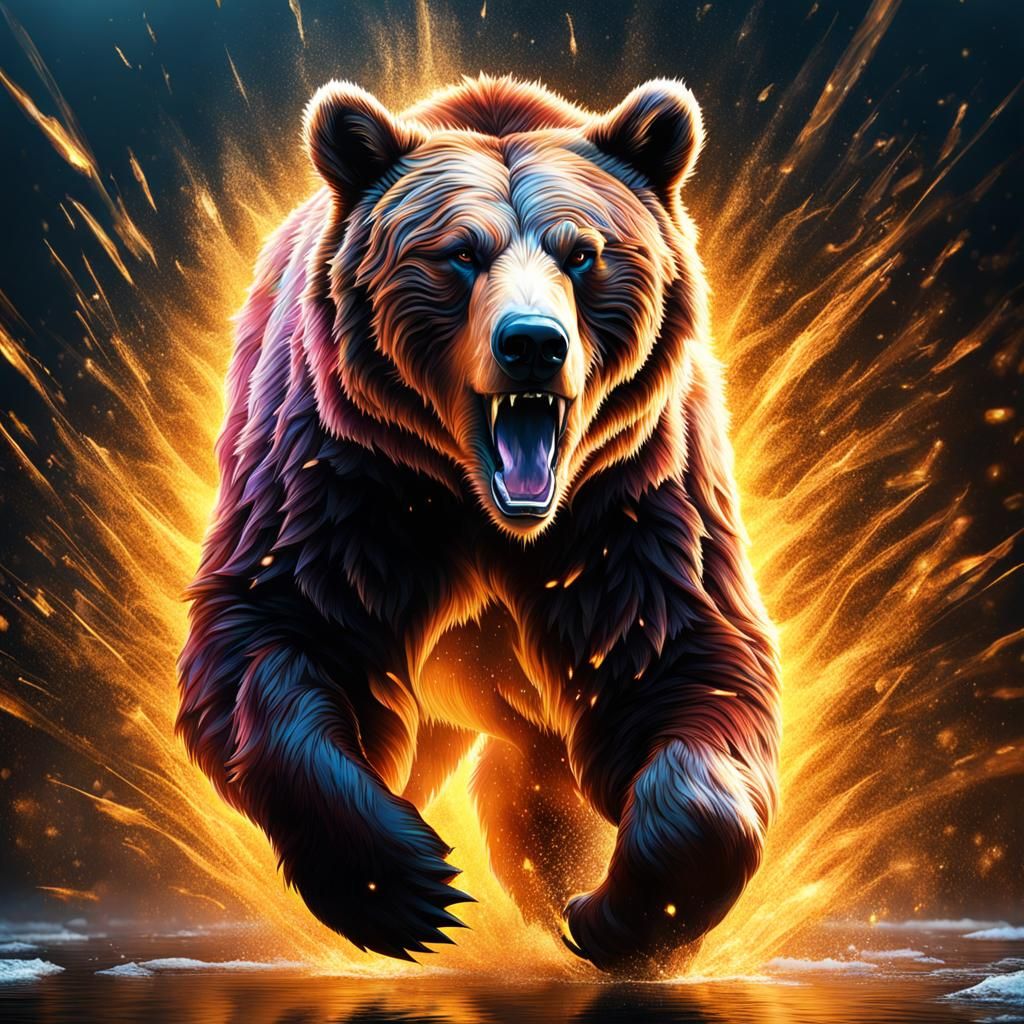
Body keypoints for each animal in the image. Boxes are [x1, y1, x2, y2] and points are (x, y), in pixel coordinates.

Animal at [177, 74, 782, 975]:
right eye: (459, 253)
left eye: (583, 252)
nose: (532, 342)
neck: (486, 510)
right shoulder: (345, 476)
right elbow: (282, 630)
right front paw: (405, 885)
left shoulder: (629, 498)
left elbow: (681, 664)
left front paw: (617, 912)